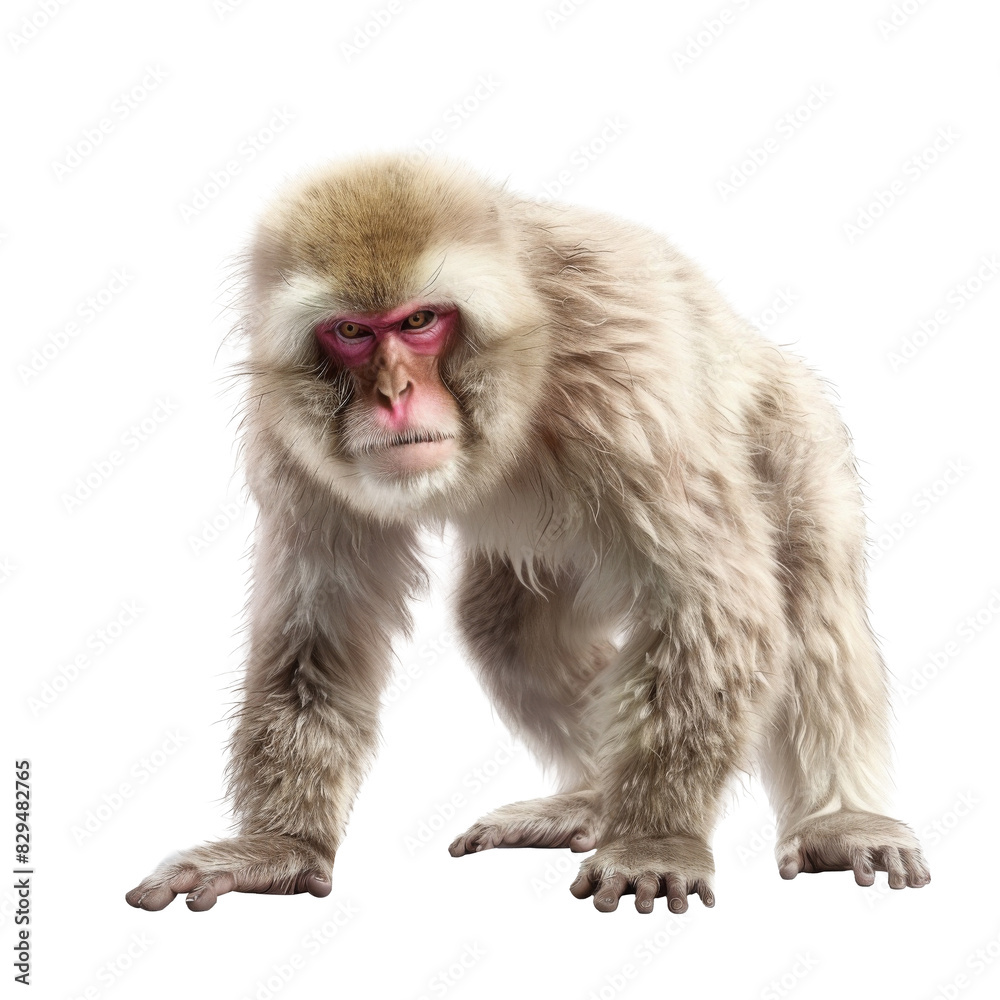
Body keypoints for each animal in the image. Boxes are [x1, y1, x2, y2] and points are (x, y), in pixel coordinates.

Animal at [125, 154, 930, 914]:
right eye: (351, 331)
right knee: (505, 628)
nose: (393, 394)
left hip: (794, 428)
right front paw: (281, 845)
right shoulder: (291, 441)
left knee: (811, 592)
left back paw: (836, 820)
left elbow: (715, 605)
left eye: (420, 321)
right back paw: (595, 801)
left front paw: (657, 838)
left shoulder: (624, 382)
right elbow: (323, 624)